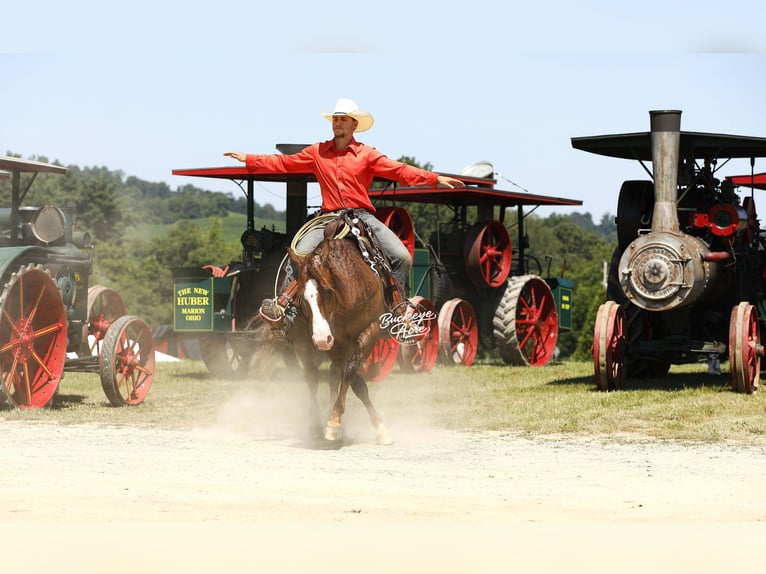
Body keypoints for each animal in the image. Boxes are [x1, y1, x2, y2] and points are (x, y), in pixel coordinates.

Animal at [287, 236, 394, 446]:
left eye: (328, 291)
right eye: (302, 297)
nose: (321, 339)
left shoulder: (371, 329)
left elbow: (350, 372)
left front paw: (379, 429)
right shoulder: (334, 344)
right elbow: (355, 382)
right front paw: (334, 423)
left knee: (333, 375)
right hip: (304, 344)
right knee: (312, 377)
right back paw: (315, 425)